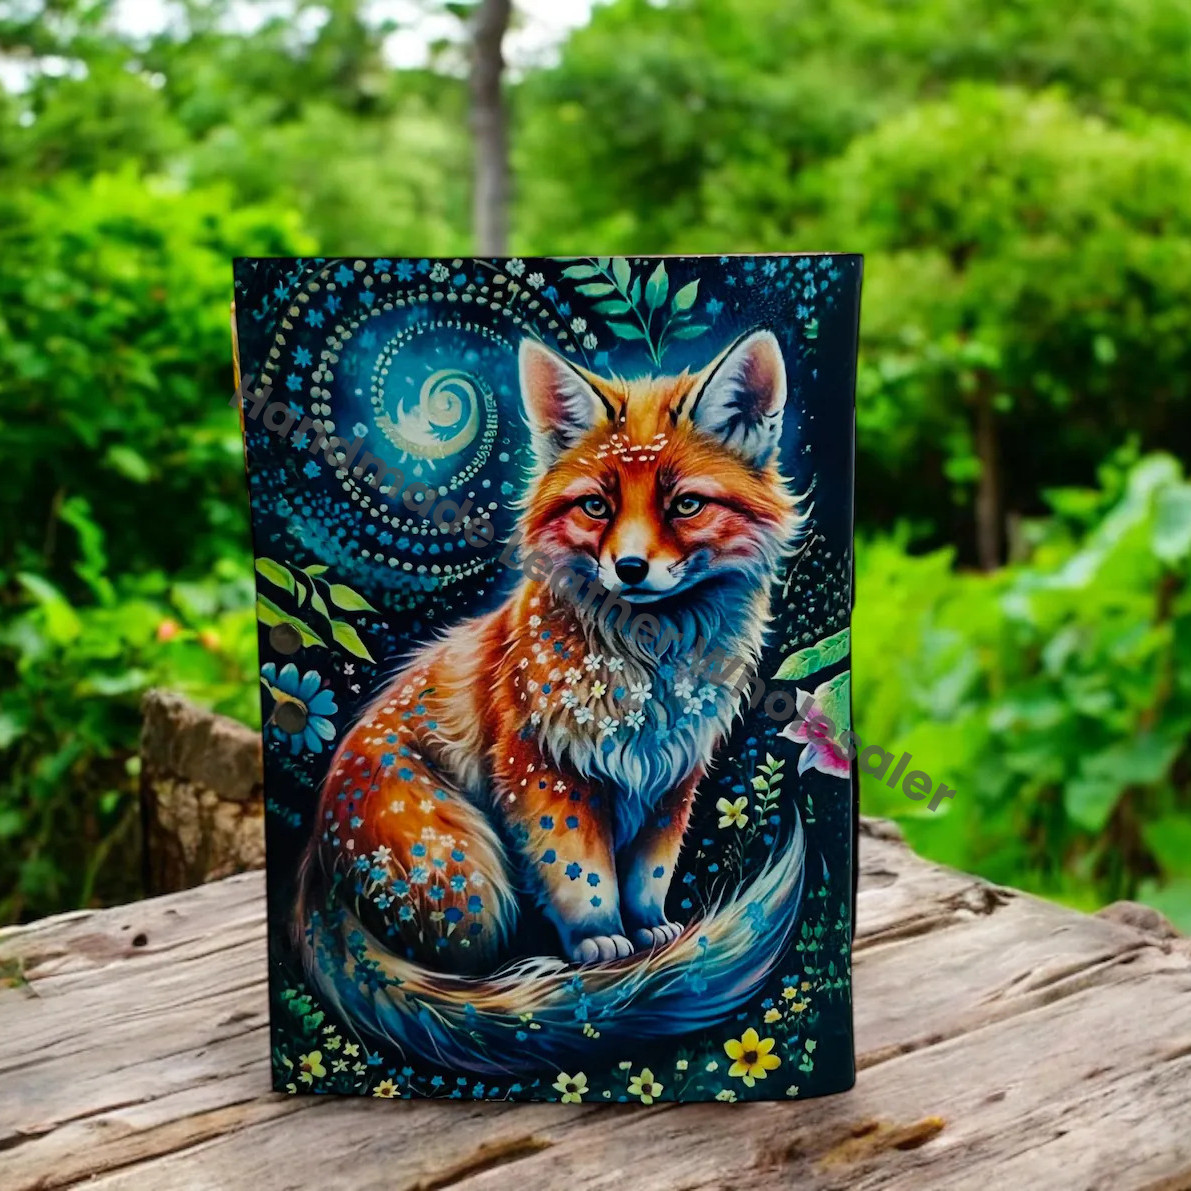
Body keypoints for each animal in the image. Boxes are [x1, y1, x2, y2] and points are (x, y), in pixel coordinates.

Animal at [296, 329, 808, 1075]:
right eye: (595, 506)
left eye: (684, 504)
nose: (630, 568)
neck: (647, 669)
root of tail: (315, 856)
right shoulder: (542, 770)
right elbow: (582, 873)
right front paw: (598, 942)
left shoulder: (670, 778)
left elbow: (649, 871)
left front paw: (648, 930)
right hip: (471, 878)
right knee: (458, 962)